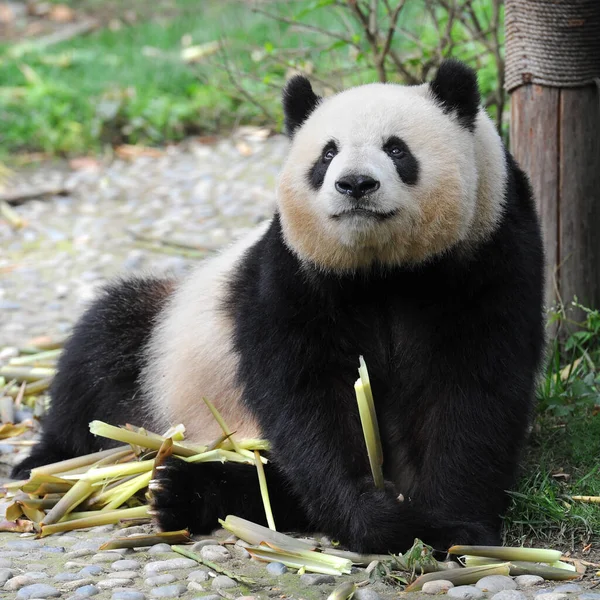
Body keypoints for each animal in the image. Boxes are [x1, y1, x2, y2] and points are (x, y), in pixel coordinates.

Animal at [11, 59, 548, 552]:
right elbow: (308, 397)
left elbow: (473, 388)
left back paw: (182, 494)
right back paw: (57, 465)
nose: (355, 184)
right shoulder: (295, 273)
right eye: (327, 154)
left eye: (396, 149)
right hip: (163, 351)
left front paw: (452, 525)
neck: (383, 270)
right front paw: (378, 519)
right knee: (101, 347)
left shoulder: (487, 255)